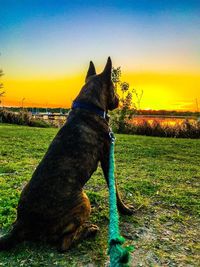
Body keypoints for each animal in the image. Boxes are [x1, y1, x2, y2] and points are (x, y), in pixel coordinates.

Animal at [0, 57, 134, 252]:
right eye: (114, 89)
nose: (118, 101)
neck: (89, 107)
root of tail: (21, 225)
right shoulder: (107, 157)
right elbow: (114, 188)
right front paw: (124, 209)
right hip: (83, 199)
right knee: (64, 244)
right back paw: (89, 230)